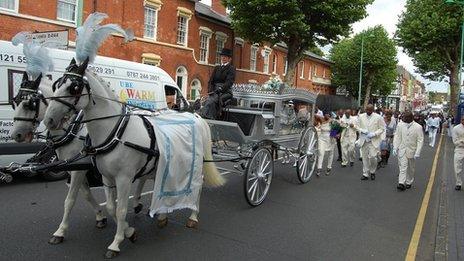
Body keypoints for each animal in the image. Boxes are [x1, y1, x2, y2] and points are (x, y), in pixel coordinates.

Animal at [9, 71, 108, 244]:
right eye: (16, 102)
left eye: (30, 104)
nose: (16, 135)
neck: (72, 129)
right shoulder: (74, 168)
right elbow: (87, 195)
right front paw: (100, 216)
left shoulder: (78, 170)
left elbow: (70, 200)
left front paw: (60, 231)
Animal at [43, 59, 225, 258]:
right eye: (56, 85)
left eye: (74, 88)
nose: (49, 120)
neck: (115, 131)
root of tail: (197, 116)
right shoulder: (106, 177)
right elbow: (110, 207)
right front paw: (128, 231)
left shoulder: (121, 177)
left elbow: (120, 209)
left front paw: (116, 243)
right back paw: (162, 215)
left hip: (196, 164)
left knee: (197, 185)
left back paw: (193, 216)